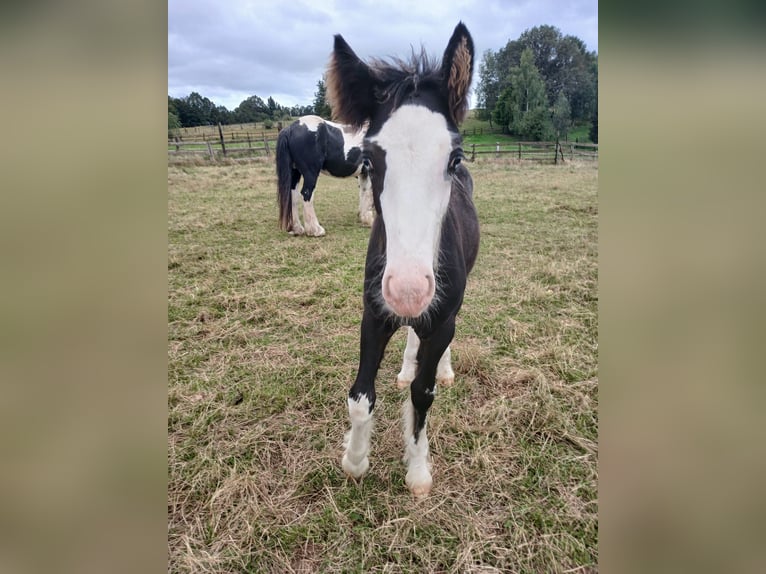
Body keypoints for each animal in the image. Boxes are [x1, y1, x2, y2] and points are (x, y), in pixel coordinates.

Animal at [328, 23, 484, 500]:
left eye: (454, 158)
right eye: (368, 159)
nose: (409, 291)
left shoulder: (441, 316)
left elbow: (424, 393)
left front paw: (417, 472)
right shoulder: (374, 314)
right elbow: (360, 395)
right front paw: (355, 460)